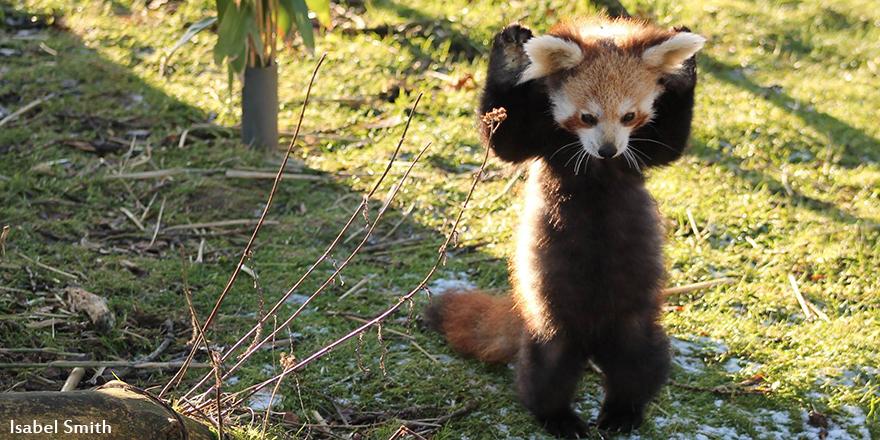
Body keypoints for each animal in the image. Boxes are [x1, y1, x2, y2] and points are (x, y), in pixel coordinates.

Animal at [422, 16, 704, 436]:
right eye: (588, 117)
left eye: (629, 116)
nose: (608, 149)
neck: (600, 168)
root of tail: (592, 341)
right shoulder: (540, 138)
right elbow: (503, 140)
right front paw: (511, 55)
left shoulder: (639, 152)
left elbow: (672, 143)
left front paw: (683, 69)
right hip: (551, 322)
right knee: (547, 370)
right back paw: (558, 417)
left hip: (633, 322)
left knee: (639, 362)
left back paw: (622, 413)